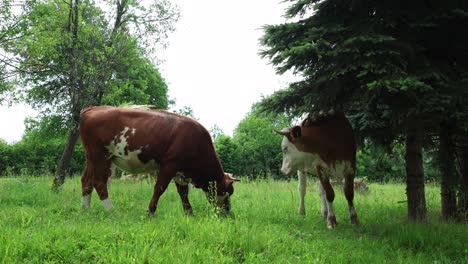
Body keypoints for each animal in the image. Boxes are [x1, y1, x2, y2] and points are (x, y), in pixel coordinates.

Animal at [79, 105, 238, 214]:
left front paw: (189, 213)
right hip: (101, 156)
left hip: (91, 158)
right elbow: (159, 188)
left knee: (86, 180)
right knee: (99, 181)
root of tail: (94, 108)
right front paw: (150, 211)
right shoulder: (170, 164)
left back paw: (86, 209)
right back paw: (111, 210)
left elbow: (183, 192)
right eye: (228, 191)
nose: (228, 211)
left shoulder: (180, 172)